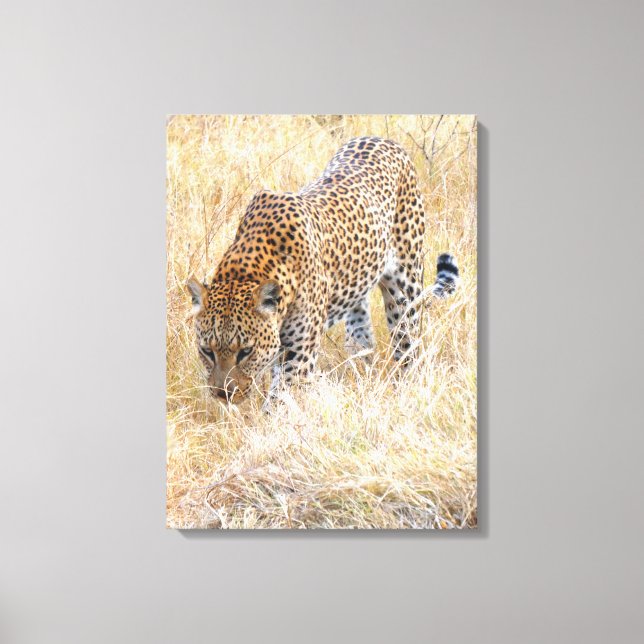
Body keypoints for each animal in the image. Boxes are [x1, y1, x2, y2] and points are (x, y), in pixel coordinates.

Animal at [187, 136, 459, 403]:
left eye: (246, 351)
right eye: (207, 351)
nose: (223, 394)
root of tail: (383, 139)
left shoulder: (299, 355)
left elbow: (279, 402)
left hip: (405, 291)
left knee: (407, 344)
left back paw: (406, 387)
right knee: (361, 338)